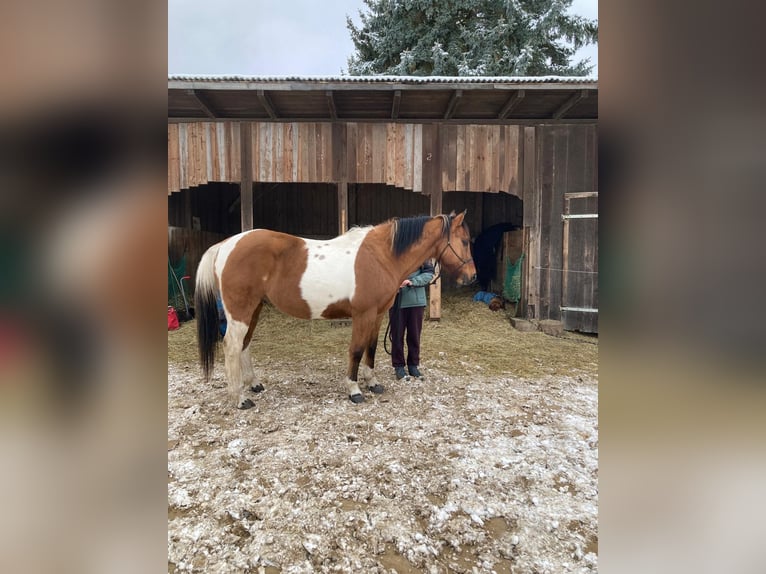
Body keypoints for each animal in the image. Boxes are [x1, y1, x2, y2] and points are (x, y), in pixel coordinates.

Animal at [194, 211, 476, 409]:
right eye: (464, 241)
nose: (472, 277)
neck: (382, 256)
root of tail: (226, 245)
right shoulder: (363, 315)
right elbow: (356, 350)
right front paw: (354, 390)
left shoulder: (377, 315)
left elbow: (371, 349)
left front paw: (373, 383)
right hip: (240, 312)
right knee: (232, 346)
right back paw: (240, 398)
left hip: (254, 309)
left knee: (245, 345)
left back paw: (254, 385)